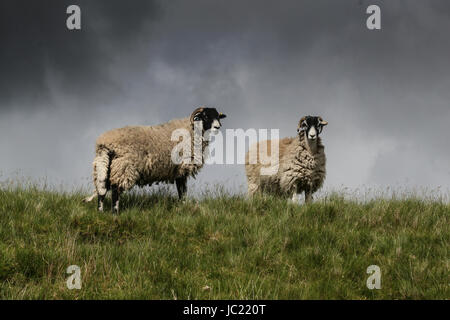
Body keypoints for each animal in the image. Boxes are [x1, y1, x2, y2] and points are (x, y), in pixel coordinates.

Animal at [83, 106, 227, 214]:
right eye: (206, 116)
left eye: (217, 116)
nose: (218, 127)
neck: (192, 130)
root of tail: (105, 143)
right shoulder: (182, 168)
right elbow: (183, 191)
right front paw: (184, 206)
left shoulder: (176, 171)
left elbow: (180, 190)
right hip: (124, 166)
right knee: (115, 190)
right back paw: (115, 213)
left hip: (105, 166)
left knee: (101, 189)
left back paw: (100, 212)